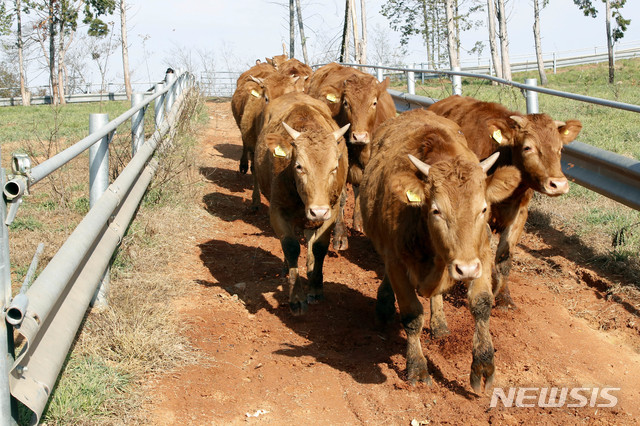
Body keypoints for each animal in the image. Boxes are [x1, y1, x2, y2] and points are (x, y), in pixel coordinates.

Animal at [254, 92, 350, 312]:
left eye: (334, 167)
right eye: (299, 166)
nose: (318, 211)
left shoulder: (331, 211)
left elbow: (319, 246)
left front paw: (315, 287)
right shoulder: (277, 211)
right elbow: (290, 247)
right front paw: (296, 297)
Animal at [360, 109, 520, 392]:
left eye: (483, 208)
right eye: (436, 210)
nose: (465, 269)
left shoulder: (481, 254)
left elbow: (481, 304)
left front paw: (483, 364)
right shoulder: (396, 262)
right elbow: (412, 315)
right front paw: (417, 367)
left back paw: (440, 323)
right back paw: (384, 304)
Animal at [428, 95, 584, 312]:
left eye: (560, 148)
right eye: (528, 147)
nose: (558, 184)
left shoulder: (519, 214)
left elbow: (504, 257)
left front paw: (503, 298)